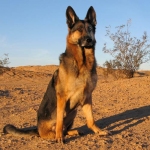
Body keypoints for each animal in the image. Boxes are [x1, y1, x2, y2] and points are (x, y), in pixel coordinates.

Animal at [3, 6, 109, 143]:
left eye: (90, 29)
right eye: (79, 30)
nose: (89, 40)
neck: (82, 63)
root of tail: (37, 129)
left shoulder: (87, 96)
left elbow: (91, 120)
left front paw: (98, 131)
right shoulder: (62, 97)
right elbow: (59, 121)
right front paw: (59, 138)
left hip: (73, 112)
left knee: (65, 129)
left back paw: (73, 131)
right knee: (55, 130)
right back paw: (58, 135)